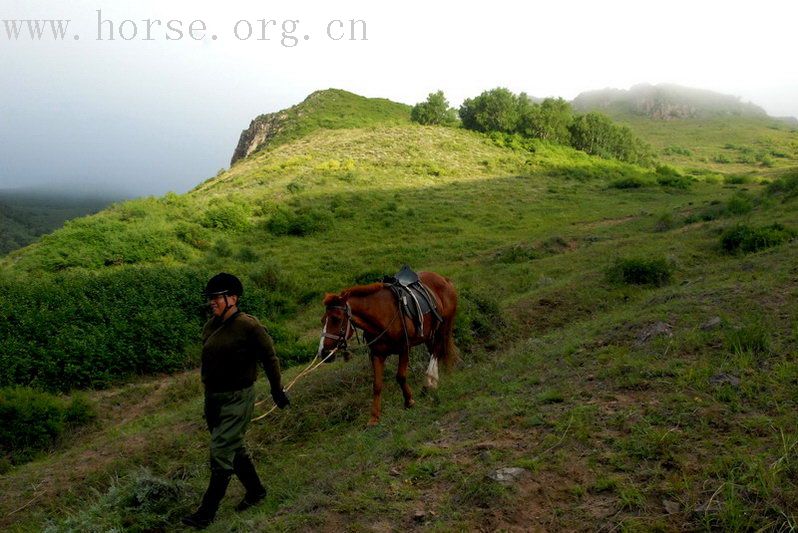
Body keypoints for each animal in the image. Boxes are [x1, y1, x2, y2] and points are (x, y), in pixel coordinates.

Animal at [318, 270, 456, 424]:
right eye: (323, 320)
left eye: (336, 319)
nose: (323, 352)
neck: (381, 316)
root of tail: (444, 279)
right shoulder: (377, 354)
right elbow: (377, 385)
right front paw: (374, 417)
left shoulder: (404, 348)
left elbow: (400, 376)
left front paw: (409, 401)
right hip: (428, 334)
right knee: (434, 351)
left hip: (443, 327)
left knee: (437, 351)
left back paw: (430, 382)